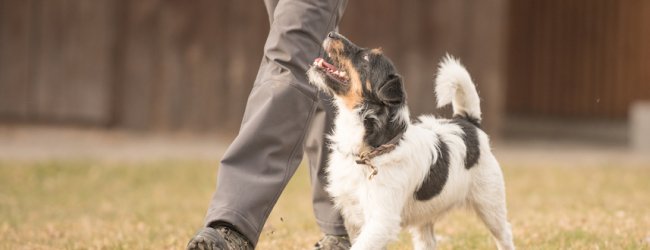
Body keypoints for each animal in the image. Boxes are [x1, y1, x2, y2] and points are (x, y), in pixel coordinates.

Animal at [306, 32, 512, 249]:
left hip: (490, 205)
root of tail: (468, 122)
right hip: (426, 219)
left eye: (366, 58)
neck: (372, 150)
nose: (331, 33)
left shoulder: (382, 221)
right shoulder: (353, 216)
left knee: (505, 234)